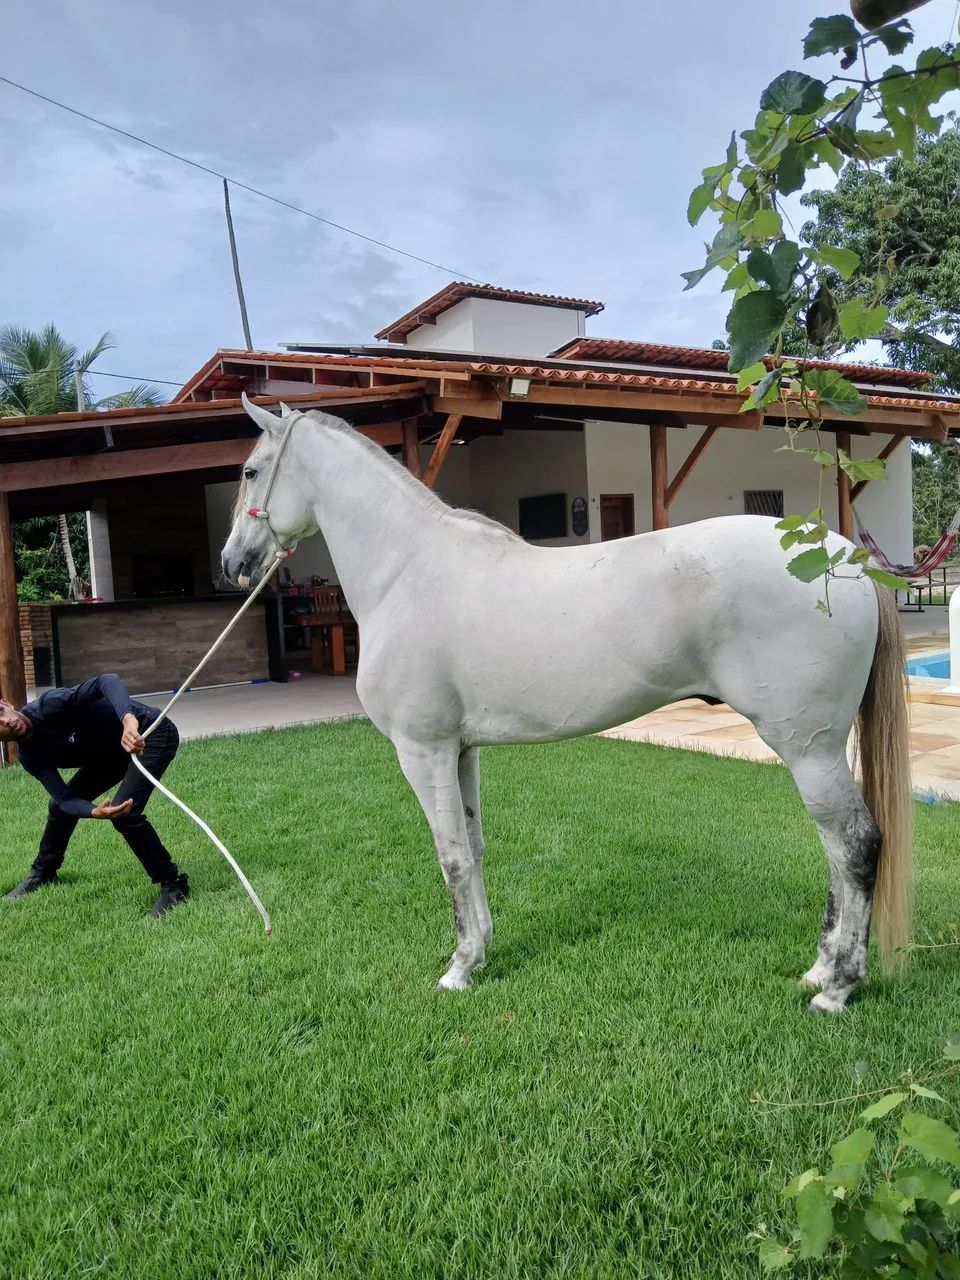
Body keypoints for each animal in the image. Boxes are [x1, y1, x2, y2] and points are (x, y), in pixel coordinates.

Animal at [222, 395, 912, 1013]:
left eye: (250, 470)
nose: (232, 563)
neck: (409, 572)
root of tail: (846, 558)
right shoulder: (461, 751)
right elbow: (474, 848)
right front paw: (482, 953)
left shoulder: (423, 750)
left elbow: (450, 857)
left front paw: (457, 969)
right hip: (818, 749)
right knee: (835, 851)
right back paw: (817, 970)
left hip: (807, 748)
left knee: (853, 846)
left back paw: (838, 989)